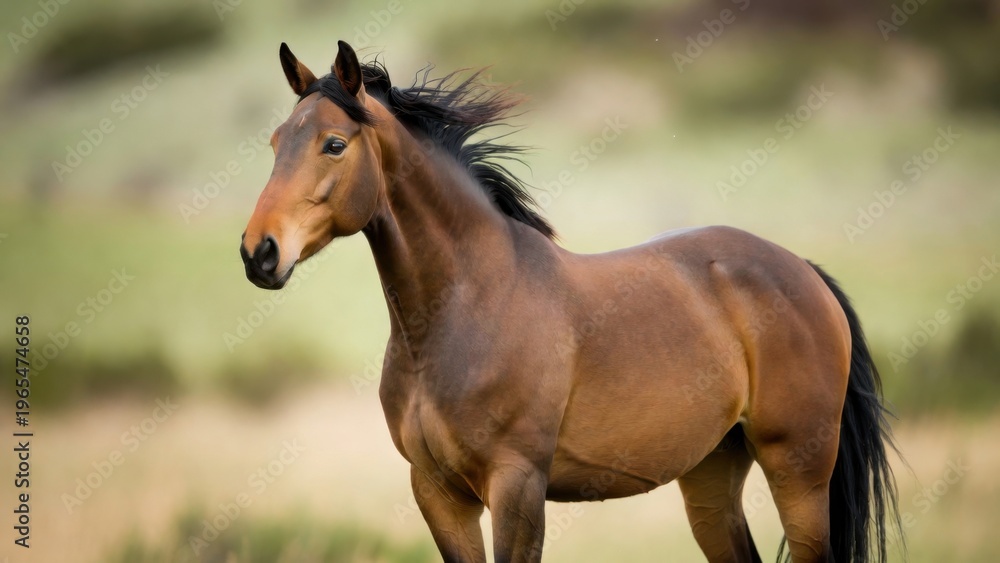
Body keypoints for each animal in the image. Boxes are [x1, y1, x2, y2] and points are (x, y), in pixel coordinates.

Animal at [239, 40, 902, 563]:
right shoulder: (437, 493)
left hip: (798, 473)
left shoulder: (517, 489)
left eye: (333, 144)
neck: (466, 308)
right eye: (275, 141)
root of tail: (804, 271)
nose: (258, 253)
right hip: (711, 477)